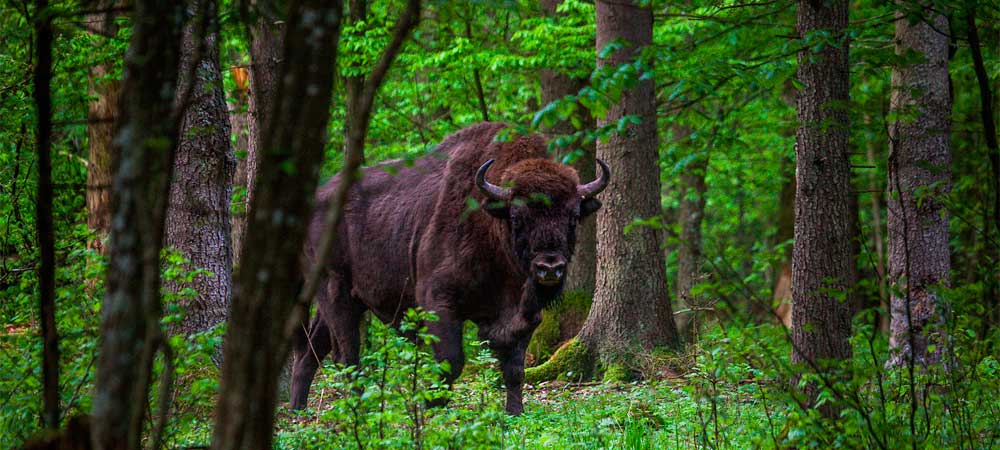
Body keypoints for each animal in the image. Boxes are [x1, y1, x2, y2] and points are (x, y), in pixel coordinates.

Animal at [290, 120, 608, 414]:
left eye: (573, 217)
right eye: (517, 217)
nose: (549, 268)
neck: (490, 223)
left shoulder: (524, 316)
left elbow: (514, 369)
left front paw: (514, 413)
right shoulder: (438, 302)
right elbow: (450, 363)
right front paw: (435, 412)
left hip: (342, 300)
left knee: (309, 353)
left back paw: (298, 411)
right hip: (335, 290)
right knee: (347, 355)